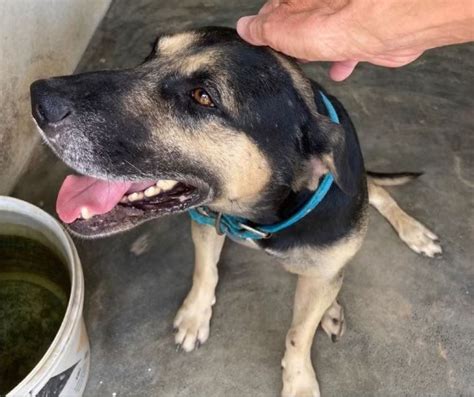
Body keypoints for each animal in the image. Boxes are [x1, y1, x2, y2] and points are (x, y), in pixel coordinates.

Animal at [30, 27, 440, 396]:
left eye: (203, 97)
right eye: (151, 55)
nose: (38, 99)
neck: (259, 217)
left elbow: (298, 334)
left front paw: (298, 381)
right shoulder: (205, 220)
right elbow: (204, 271)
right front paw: (195, 315)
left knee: (374, 200)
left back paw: (411, 235)